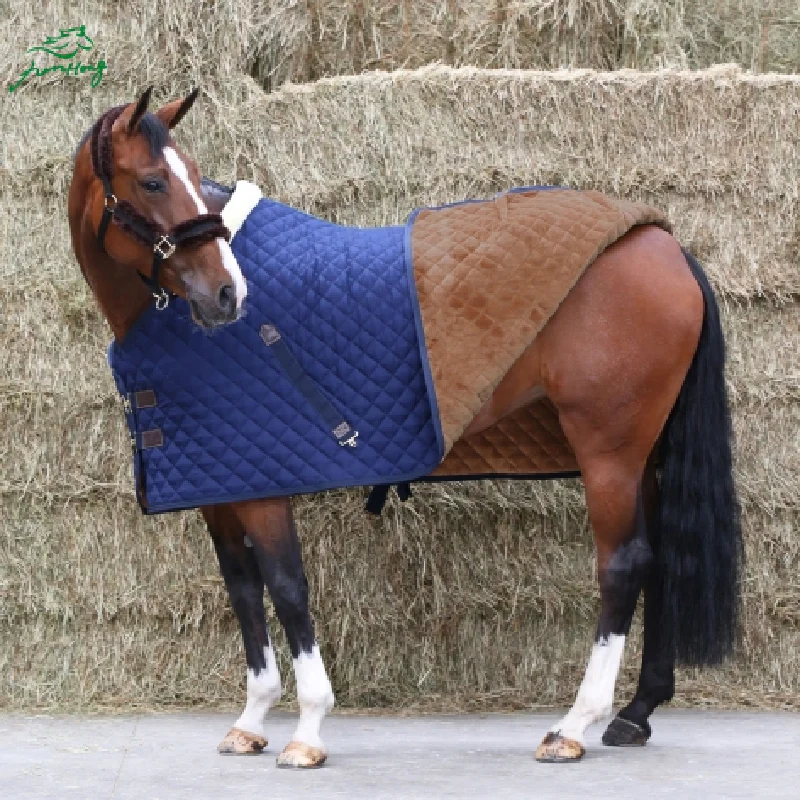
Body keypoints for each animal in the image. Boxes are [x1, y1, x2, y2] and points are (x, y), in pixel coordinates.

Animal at [68, 88, 742, 768]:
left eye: (184, 175)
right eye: (153, 180)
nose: (227, 294)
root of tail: (660, 242)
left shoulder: (264, 487)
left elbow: (286, 587)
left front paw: (308, 730)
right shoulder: (218, 484)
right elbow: (242, 589)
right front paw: (251, 719)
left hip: (609, 454)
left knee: (622, 566)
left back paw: (575, 725)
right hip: (643, 457)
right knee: (657, 563)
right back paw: (634, 713)